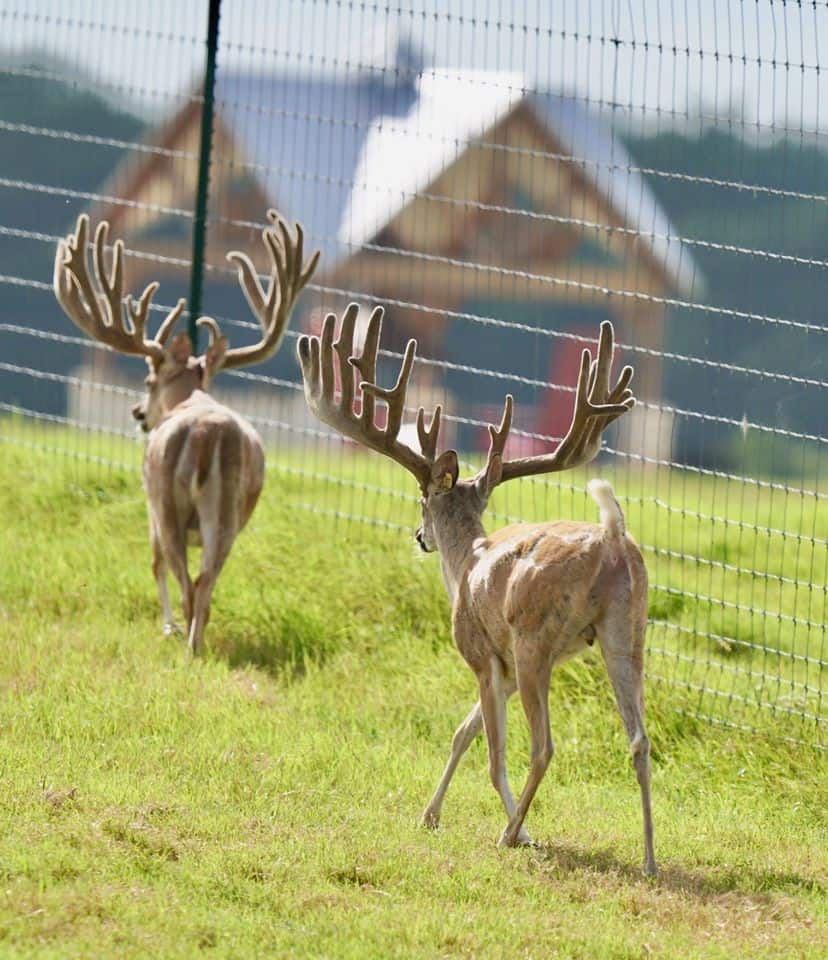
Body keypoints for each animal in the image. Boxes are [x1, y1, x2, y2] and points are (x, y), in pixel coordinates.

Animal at [54, 210, 319, 655]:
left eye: (148, 380)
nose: (138, 413)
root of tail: (206, 435)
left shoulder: (149, 505)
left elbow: (154, 565)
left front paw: (166, 627)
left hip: (165, 502)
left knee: (181, 577)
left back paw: (183, 642)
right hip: (229, 511)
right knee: (206, 581)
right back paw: (197, 643)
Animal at [297, 305, 657, 876]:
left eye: (421, 499)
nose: (418, 536)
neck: (465, 561)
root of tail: (612, 537)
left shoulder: (483, 653)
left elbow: (490, 752)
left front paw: (524, 831)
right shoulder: (503, 667)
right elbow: (461, 733)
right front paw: (429, 814)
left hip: (535, 638)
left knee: (543, 746)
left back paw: (507, 836)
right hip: (626, 630)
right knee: (640, 740)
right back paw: (648, 859)